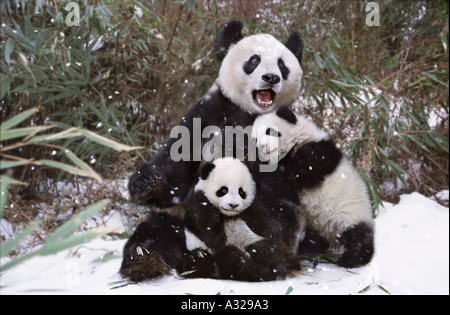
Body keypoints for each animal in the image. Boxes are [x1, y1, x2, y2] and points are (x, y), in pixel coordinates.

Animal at [119, 20, 304, 282]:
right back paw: (147, 260)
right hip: (176, 220)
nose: (271, 77)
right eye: (254, 60)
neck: (248, 111)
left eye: (282, 64)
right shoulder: (208, 113)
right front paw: (146, 182)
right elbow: (174, 170)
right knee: (153, 232)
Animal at [251, 107, 374, 268]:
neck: (299, 140)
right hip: (318, 222)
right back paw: (308, 247)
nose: (262, 147)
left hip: (350, 212)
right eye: (255, 139)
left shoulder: (317, 155)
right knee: (316, 237)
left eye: (269, 131)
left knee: (358, 236)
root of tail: (331, 232)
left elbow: (291, 176)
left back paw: (351, 259)